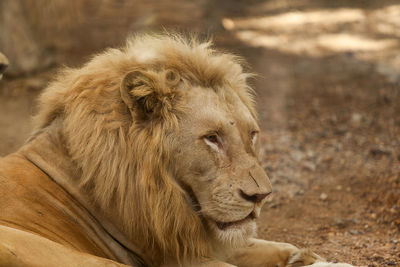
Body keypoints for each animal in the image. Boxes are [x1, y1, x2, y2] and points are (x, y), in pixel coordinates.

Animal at [0, 34, 352, 267]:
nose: (260, 197)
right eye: (212, 138)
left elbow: (276, 245)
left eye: (252, 135)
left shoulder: (199, 240)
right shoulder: (174, 258)